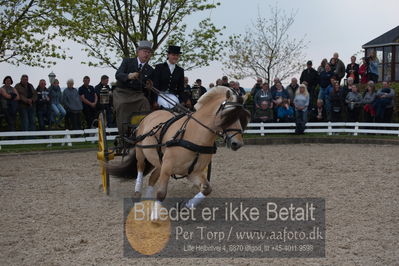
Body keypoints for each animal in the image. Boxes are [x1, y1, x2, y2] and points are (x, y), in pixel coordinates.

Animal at [108, 85, 248, 220]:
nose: (237, 143)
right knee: (140, 169)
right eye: (228, 114)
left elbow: (207, 189)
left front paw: (185, 206)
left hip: (159, 160)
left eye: (240, 115)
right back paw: (137, 194)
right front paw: (155, 216)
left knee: (153, 176)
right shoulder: (168, 167)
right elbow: (161, 193)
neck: (194, 136)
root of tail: (151, 114)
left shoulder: (192, 172)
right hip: (141, 152)